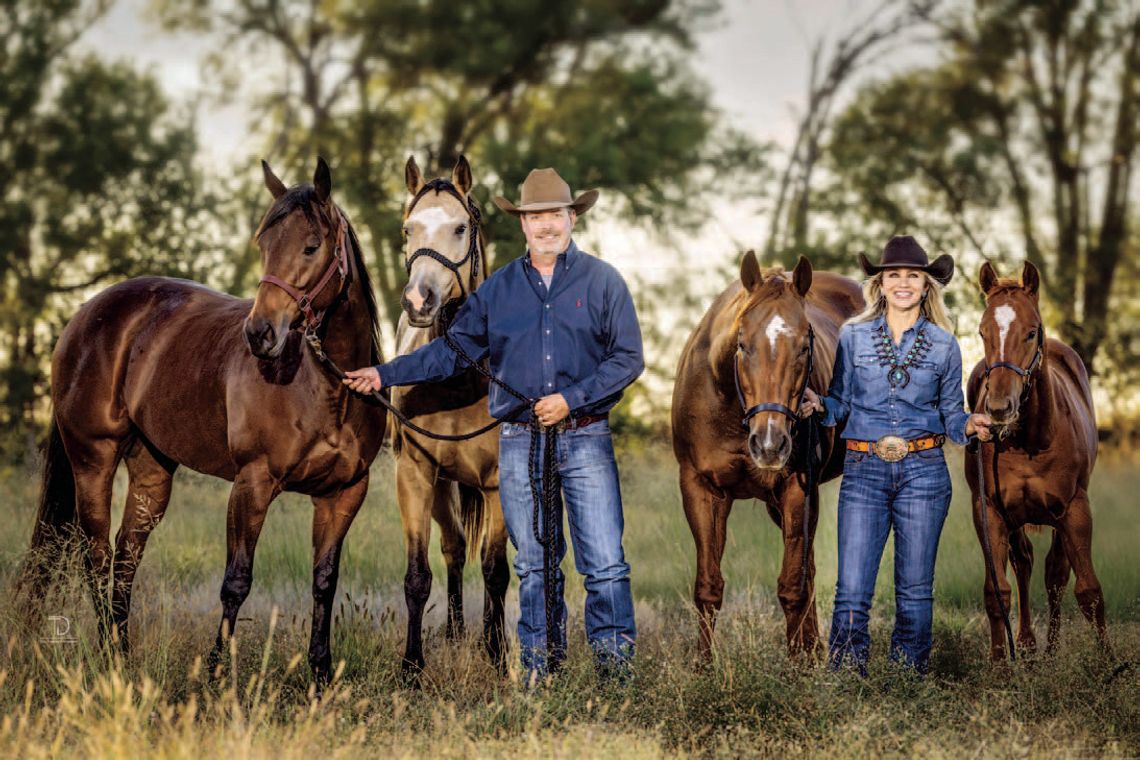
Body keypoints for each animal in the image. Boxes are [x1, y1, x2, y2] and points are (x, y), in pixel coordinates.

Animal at [21, 159, 387, 683]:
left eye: (312, 245)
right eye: (263, 244)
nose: (260, 334)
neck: (328, 386)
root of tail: (85, 313)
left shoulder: (344, 493)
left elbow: (324, 582)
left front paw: (320, 674)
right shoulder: (253, 483)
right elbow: (236, 581)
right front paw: (216, 674)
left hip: (152, 472)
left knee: (126, 557)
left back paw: (123, 655)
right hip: (92, 460)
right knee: (97, 554)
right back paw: (107, 658)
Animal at [670, 252, 857, 656]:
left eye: (805, 346)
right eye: (742, 344)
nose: (769, 444)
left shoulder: (796, 489)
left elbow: (792, 588)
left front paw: (798, 663)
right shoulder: (700, 488)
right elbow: (708, 587)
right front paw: (703, 664)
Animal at [966, 262, 1108, 660]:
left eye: (1030, 332)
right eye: (982, 331)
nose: (999, 408)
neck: (1029, 441)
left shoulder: (1075, 509)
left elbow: (1087, 591)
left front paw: (1108, 664)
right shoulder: (990, 512)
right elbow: (997, 591)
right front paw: (1001, 663)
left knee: (1055, 574)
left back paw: (1050, 649)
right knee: (1025, 563)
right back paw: (1028, 646)